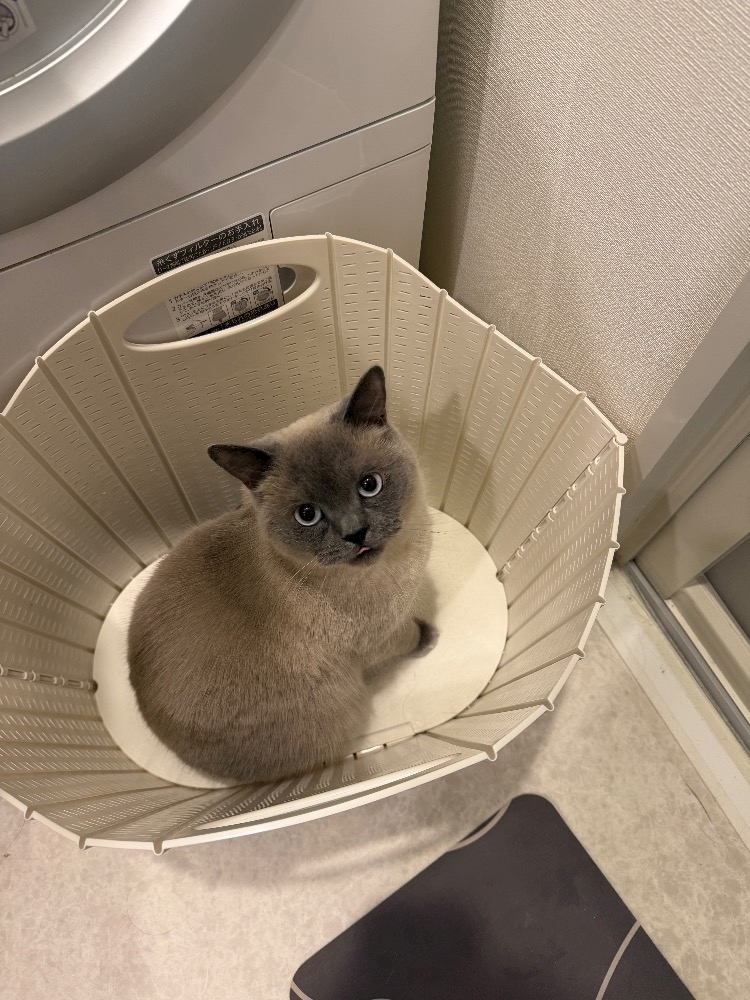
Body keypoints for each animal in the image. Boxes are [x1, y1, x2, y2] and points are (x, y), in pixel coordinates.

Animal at [127, 366, 434, 784]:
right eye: (307, 515)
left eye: (369, 485)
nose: (356, 534)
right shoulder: (380, 639)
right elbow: (410, 635)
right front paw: (430, 636)